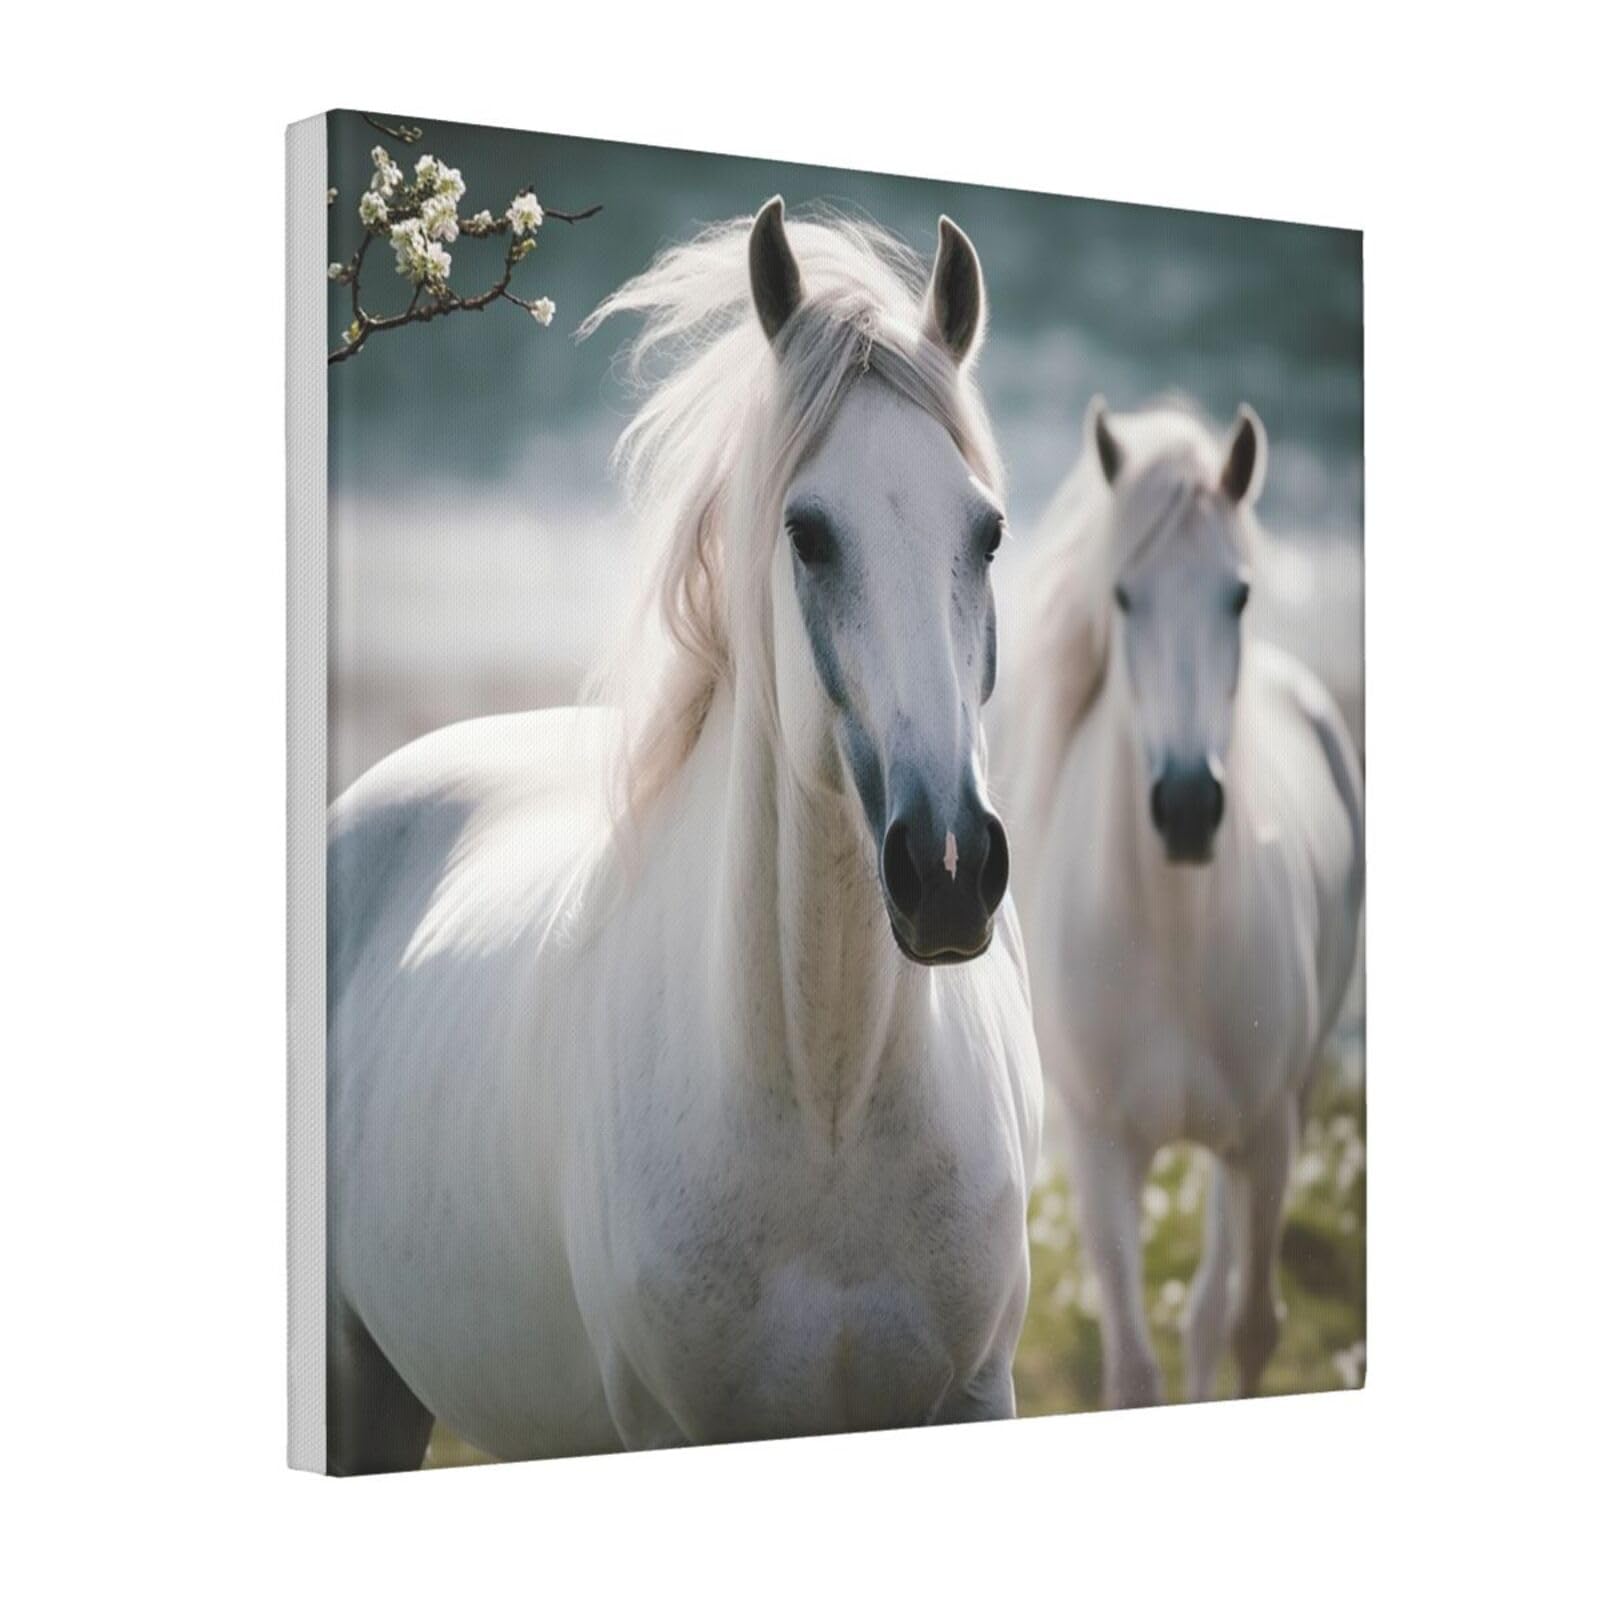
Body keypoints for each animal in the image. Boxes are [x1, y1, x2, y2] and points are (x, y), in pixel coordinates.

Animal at [1000, 400, 1363, 1409]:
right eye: (1123, 598)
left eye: (1237, 596)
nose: (1191, 806)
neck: (1167, 937)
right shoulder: (1099, 1158)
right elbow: (1133, 1368)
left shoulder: (1270, 1140)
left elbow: (1251, 1328)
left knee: (1212, 1311)